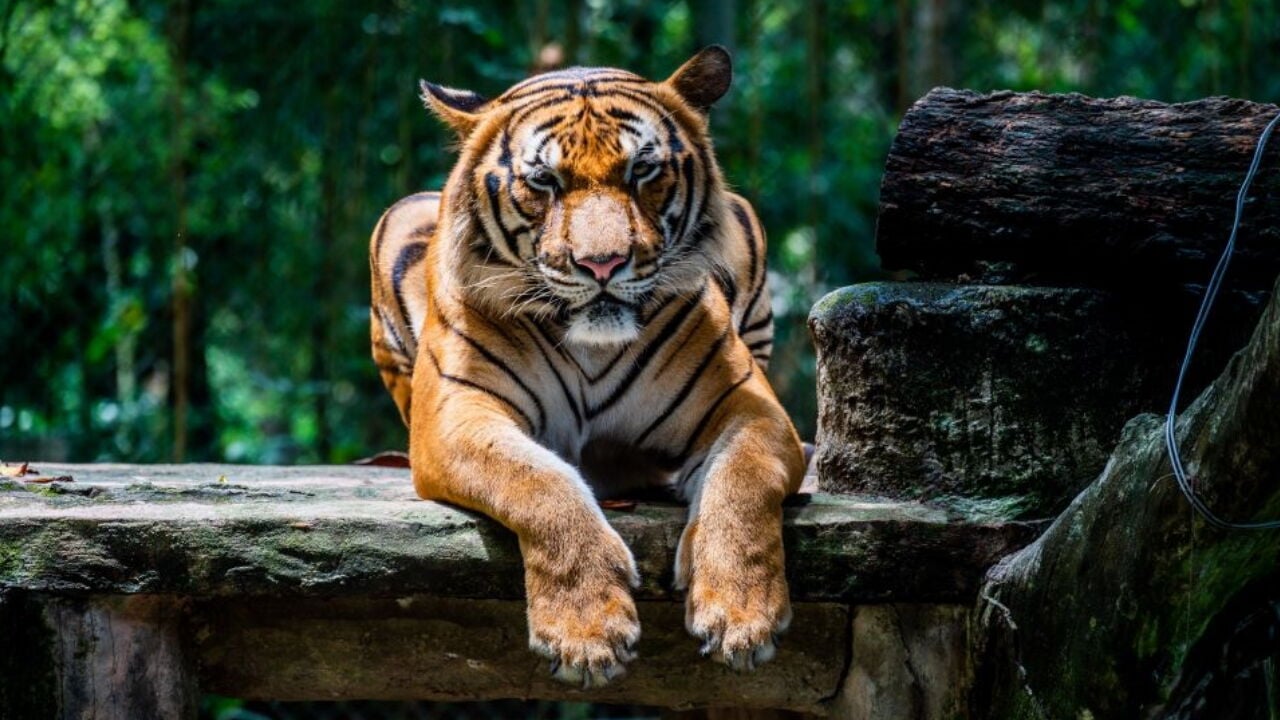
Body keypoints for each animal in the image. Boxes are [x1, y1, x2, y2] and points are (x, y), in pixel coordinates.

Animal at [371, 44, 803, 681]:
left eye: (642, 171)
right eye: (544, 181)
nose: (603, 264)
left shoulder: (751, 408)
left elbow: (744, 483)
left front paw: (742, 615)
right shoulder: (457, 417)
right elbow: (537, 482)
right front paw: (587, 631)